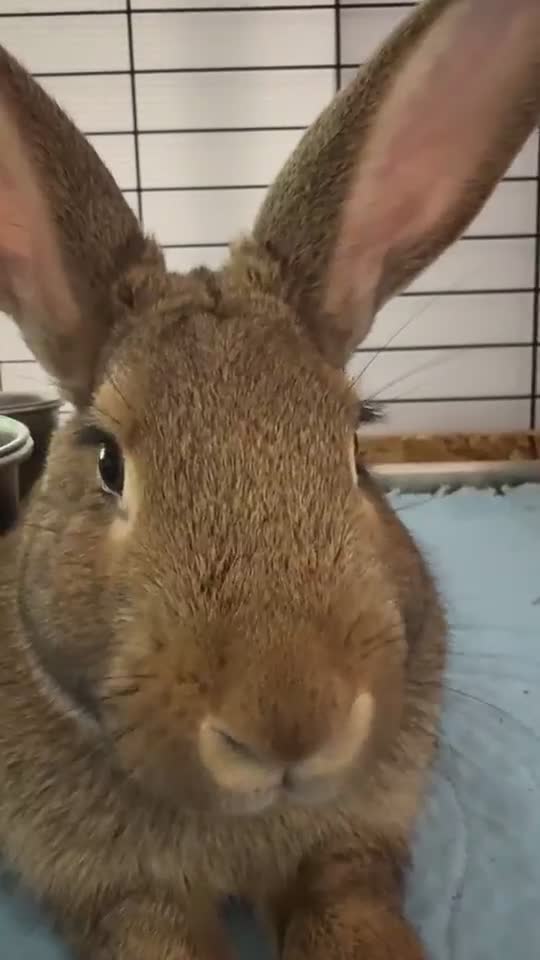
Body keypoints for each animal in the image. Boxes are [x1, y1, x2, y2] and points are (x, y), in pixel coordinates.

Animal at [0, 0, 539, 957]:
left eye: (356, 451)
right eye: (106, 461)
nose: (293, 724)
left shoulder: (349, 849)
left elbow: (346, 909)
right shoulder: (124, 895)